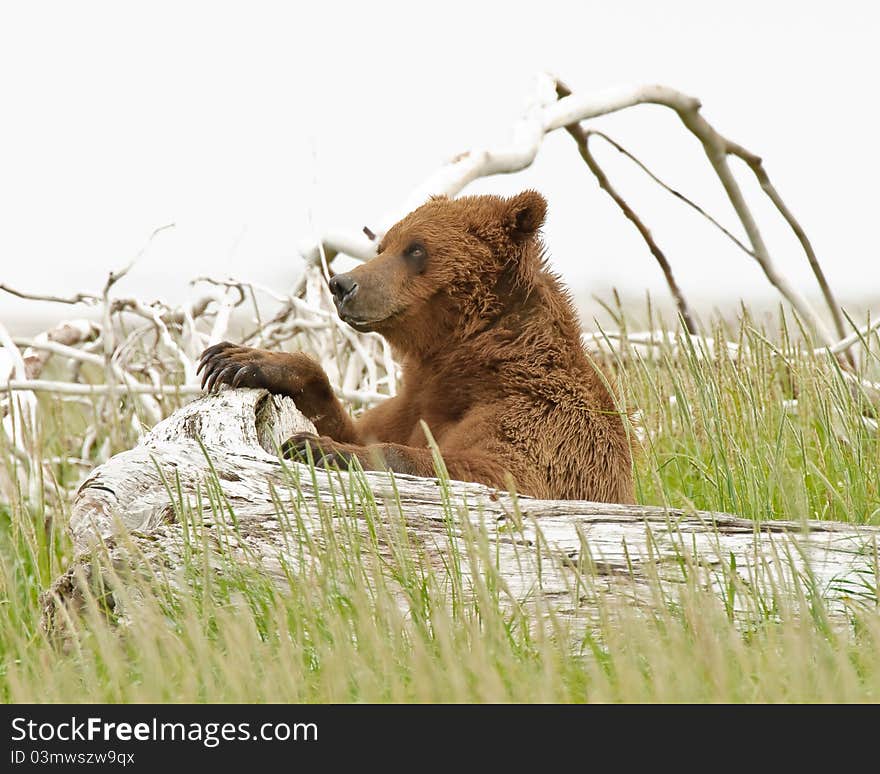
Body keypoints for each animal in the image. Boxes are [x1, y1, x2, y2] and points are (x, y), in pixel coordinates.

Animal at [198, 192, 632, 504]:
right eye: (384, 246)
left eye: (417, 248)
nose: (341, 284)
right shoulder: (415, 401)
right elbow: (356, 425)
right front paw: (240, 359)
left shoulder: (542, 419)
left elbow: (497, 471)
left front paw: (317, 447)